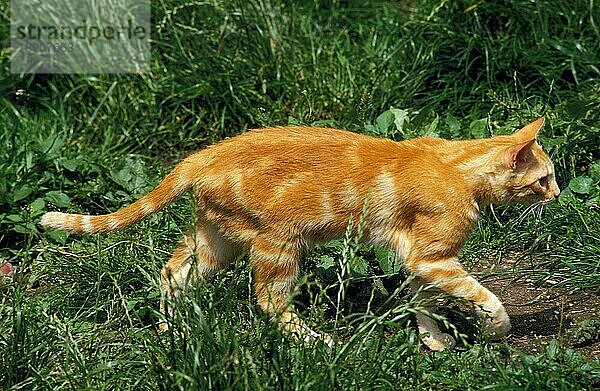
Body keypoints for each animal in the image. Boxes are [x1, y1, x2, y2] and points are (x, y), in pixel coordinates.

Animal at [41, 117, 556, 352]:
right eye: (543, 179)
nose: (555, 194)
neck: (456, 167)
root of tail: (202, 156)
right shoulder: (433, 258)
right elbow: (487, 298)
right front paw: (496, 330)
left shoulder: (422, 262)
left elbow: (422, 305)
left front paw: (434, 342)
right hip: (278, 247)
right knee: (268, 301)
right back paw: (320, 342)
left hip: (216, 241)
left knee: (172, 274)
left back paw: (174, 331)